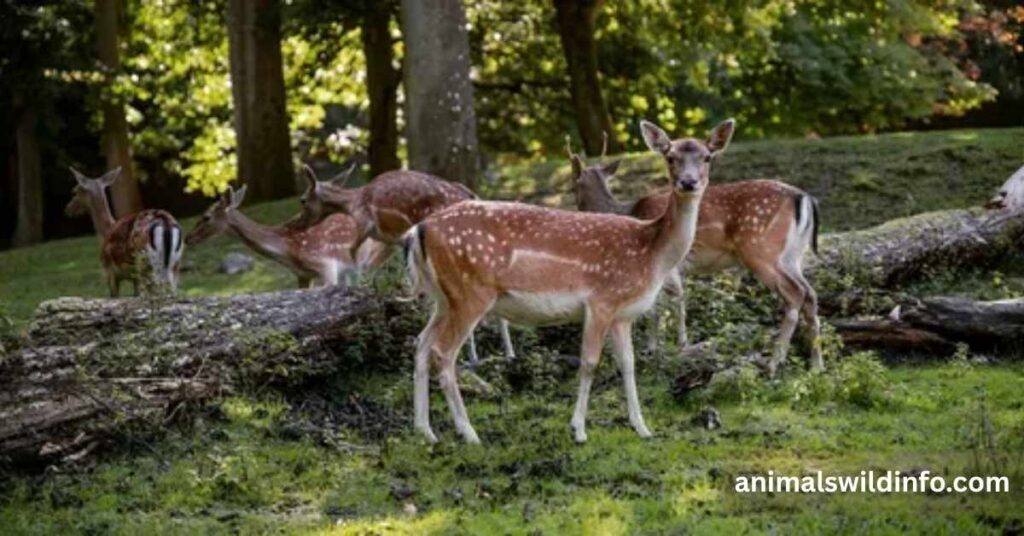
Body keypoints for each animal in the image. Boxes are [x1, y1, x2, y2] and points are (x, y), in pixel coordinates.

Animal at [64, 167, 184, 296]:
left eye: (74, 192)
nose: (67, 209)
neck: (106, 230)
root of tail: (165, 221)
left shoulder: (109, 271)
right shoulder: (133, 278)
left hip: (145, 262)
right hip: (175, 264)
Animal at [298, 165, 516, 363]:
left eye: (303, 200)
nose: (297, 224)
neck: (353, 204)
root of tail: (473, 196)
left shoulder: (365, 226)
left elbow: (355, 260)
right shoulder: (389, 240)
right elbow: (373, 268)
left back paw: (473, 358)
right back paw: (507, 355)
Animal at [403, 118, 735, 444]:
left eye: (707, 156)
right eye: (670, 156)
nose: (689, 182)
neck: (650, 254)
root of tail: (418, 230)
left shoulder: (623, 315)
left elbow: (628, 365)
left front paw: (642, 428)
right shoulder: (601, 300)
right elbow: (589, 362)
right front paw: (578, 430)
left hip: (444, 297)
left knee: (421, 343)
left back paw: (426, 431)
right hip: (470, 292)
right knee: (443, 353)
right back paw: (469, 433)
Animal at [570, 136, 822, 378]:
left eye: (574, 186)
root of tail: (804, 198)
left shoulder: (666, 266)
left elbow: (667, 303)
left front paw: (668, 346)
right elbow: (662, 304)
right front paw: (658, 345)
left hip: (761, 250)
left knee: (796, 293)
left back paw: (773, 363)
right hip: (793, 256)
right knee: (810, 293)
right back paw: (816, 364)